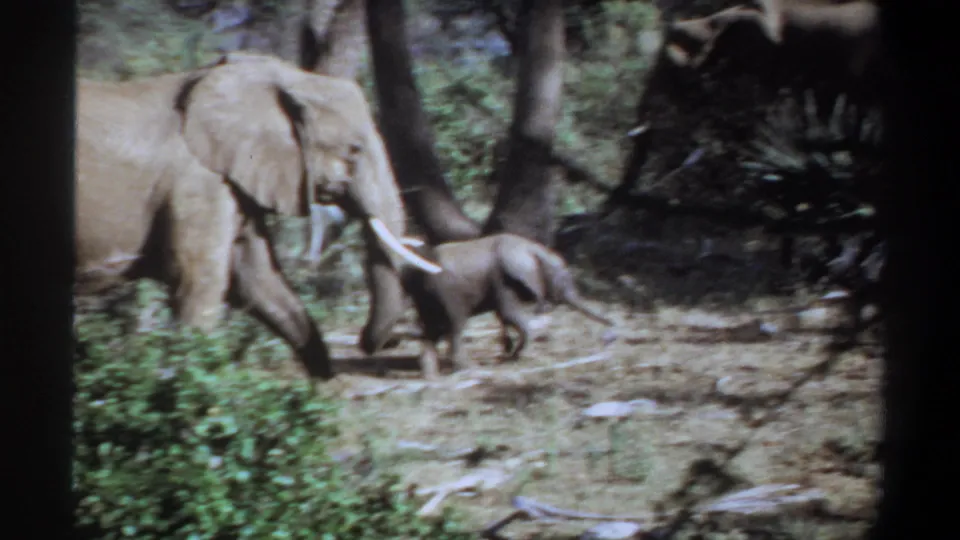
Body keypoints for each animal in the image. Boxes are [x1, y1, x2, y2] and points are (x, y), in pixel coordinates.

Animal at [75, 51, 443, 381]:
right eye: (355, 150)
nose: (371, 342)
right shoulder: (198, 182)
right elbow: (200, 281)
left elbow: (257, 278)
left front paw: (321, 389)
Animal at [395, 233, 615, 379]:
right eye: (562, 280)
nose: (613, 326)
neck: (532, 248)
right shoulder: (504, 279)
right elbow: (509, 315)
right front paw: (516, 356)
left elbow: (504, 317)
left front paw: (509, 351)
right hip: (447, 293)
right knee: (454, 325)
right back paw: (471, 370)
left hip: (426, 297)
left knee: (432, 331)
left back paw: (431, 377)